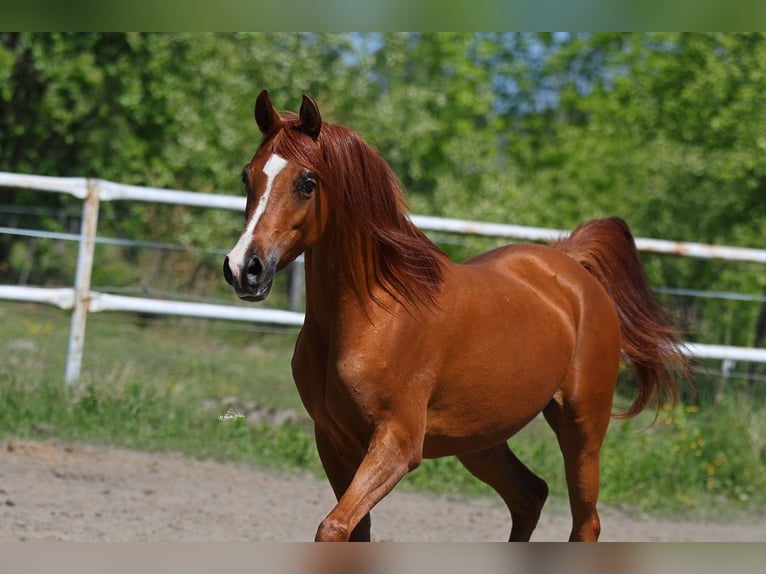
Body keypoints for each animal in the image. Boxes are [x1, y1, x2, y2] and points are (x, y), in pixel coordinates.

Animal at [223, 90, 691, 542]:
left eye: (307, 182)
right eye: (248, 176)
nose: (244, 268)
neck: (371, 315)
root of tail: (570, 266)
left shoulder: (397, 445)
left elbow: (333, 527)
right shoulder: (333, 440)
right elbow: (355, 531)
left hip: (582, 430)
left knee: (584, 523)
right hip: (481, 440)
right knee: (530, 496)